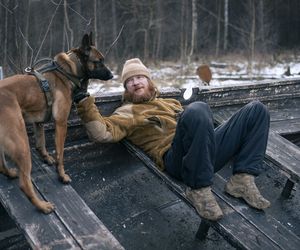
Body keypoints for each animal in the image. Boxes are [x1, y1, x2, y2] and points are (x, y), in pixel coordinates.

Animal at [0, 33, 112, 213]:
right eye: (98, 61)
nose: (111, 75)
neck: (67, 71)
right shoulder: (61, 123)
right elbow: (60, 154)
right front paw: (62, 176)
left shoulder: (38, 122)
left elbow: (41, 144)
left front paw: (46, 158)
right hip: (20, 142)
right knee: (24, 183)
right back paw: (42, 206)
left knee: (2, 165)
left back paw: (10, 173)